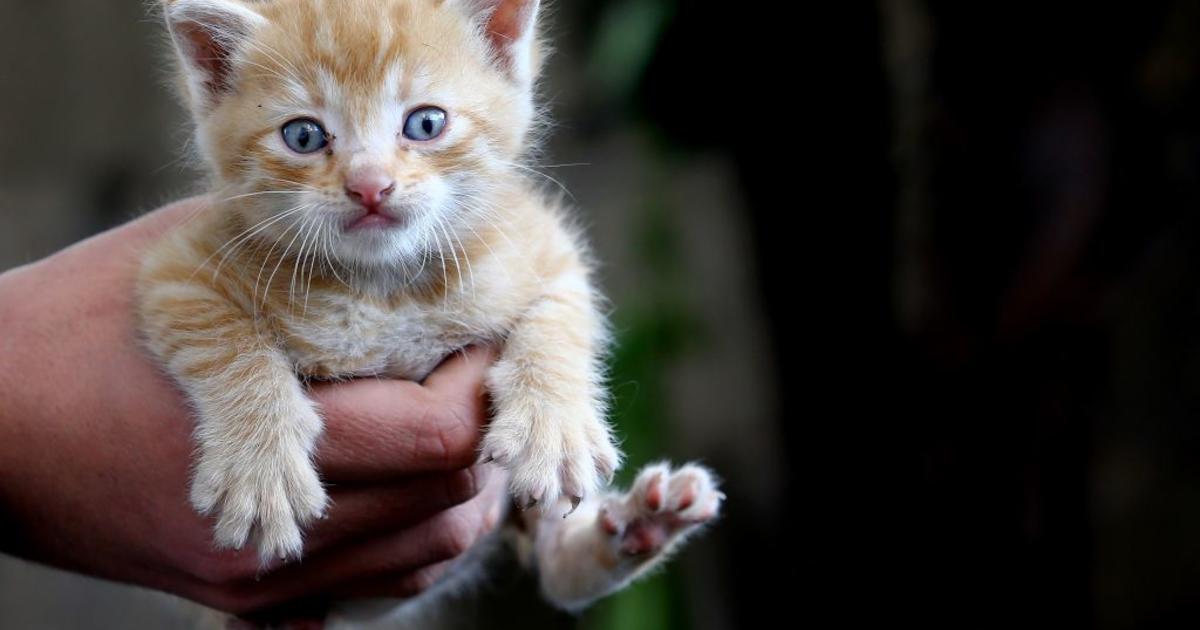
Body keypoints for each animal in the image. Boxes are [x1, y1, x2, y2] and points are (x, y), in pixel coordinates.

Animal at [140, 0, 720, 619]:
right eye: (303, 135)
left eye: (425, 123)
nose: (370, 186)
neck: (385, 287)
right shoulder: (176, 271)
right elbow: (225, 345)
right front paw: (259, 467)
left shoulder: (547, 248)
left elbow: (559, 322)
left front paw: (554, 424)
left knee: (560, 571)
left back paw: (645, 523)